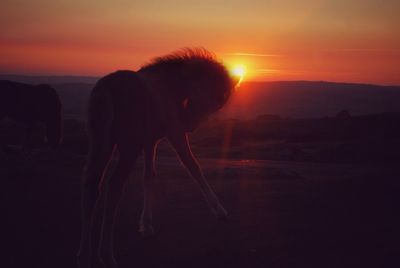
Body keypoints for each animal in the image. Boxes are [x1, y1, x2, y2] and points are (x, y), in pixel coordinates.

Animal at [76, 48, 236, 268]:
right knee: (114, 186)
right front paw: (220, 210)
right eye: (210, 95)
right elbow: (193, 167)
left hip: (102, 145)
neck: (169, 86)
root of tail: (107, 89)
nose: (190, 125)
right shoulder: (175, 133)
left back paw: (84, 255)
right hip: (128, 148)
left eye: (217, 103)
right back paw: (107, 254)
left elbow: (149, 176)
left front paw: (147, 225)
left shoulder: (150, 142)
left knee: (90, 188)